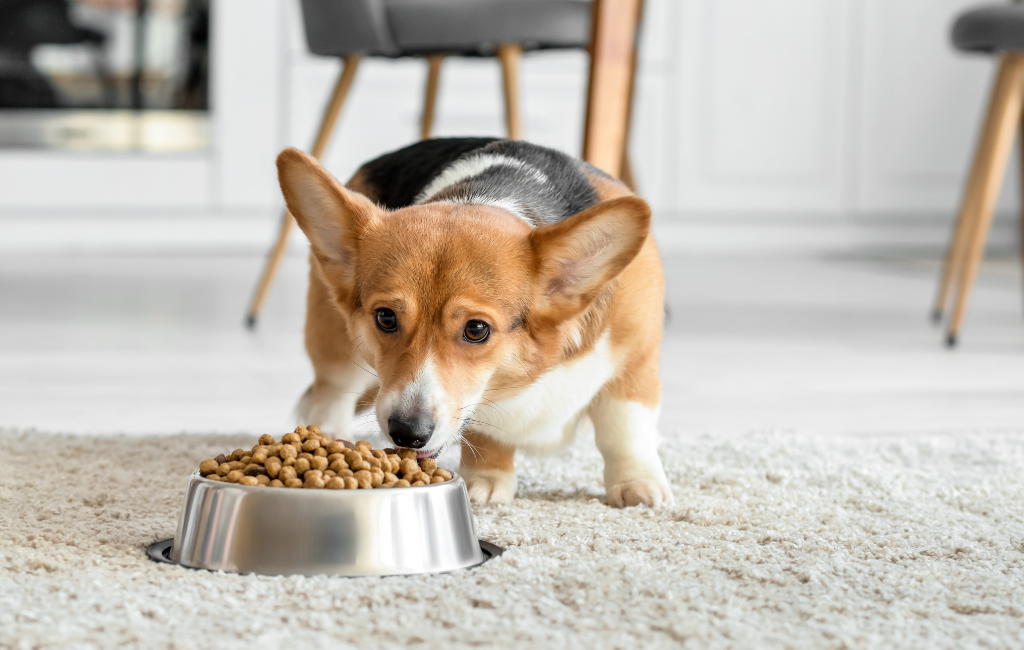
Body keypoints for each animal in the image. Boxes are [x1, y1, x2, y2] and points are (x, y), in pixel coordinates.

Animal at [276, 138, 671, 507]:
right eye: (385, 317)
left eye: (476, 329)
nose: (407, 433)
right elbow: (489, 431)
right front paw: (487, 480)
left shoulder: (636, 362)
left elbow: (623, 429)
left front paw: (637, 485)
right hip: (334, 340)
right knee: (331, 391)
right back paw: (328, 435)